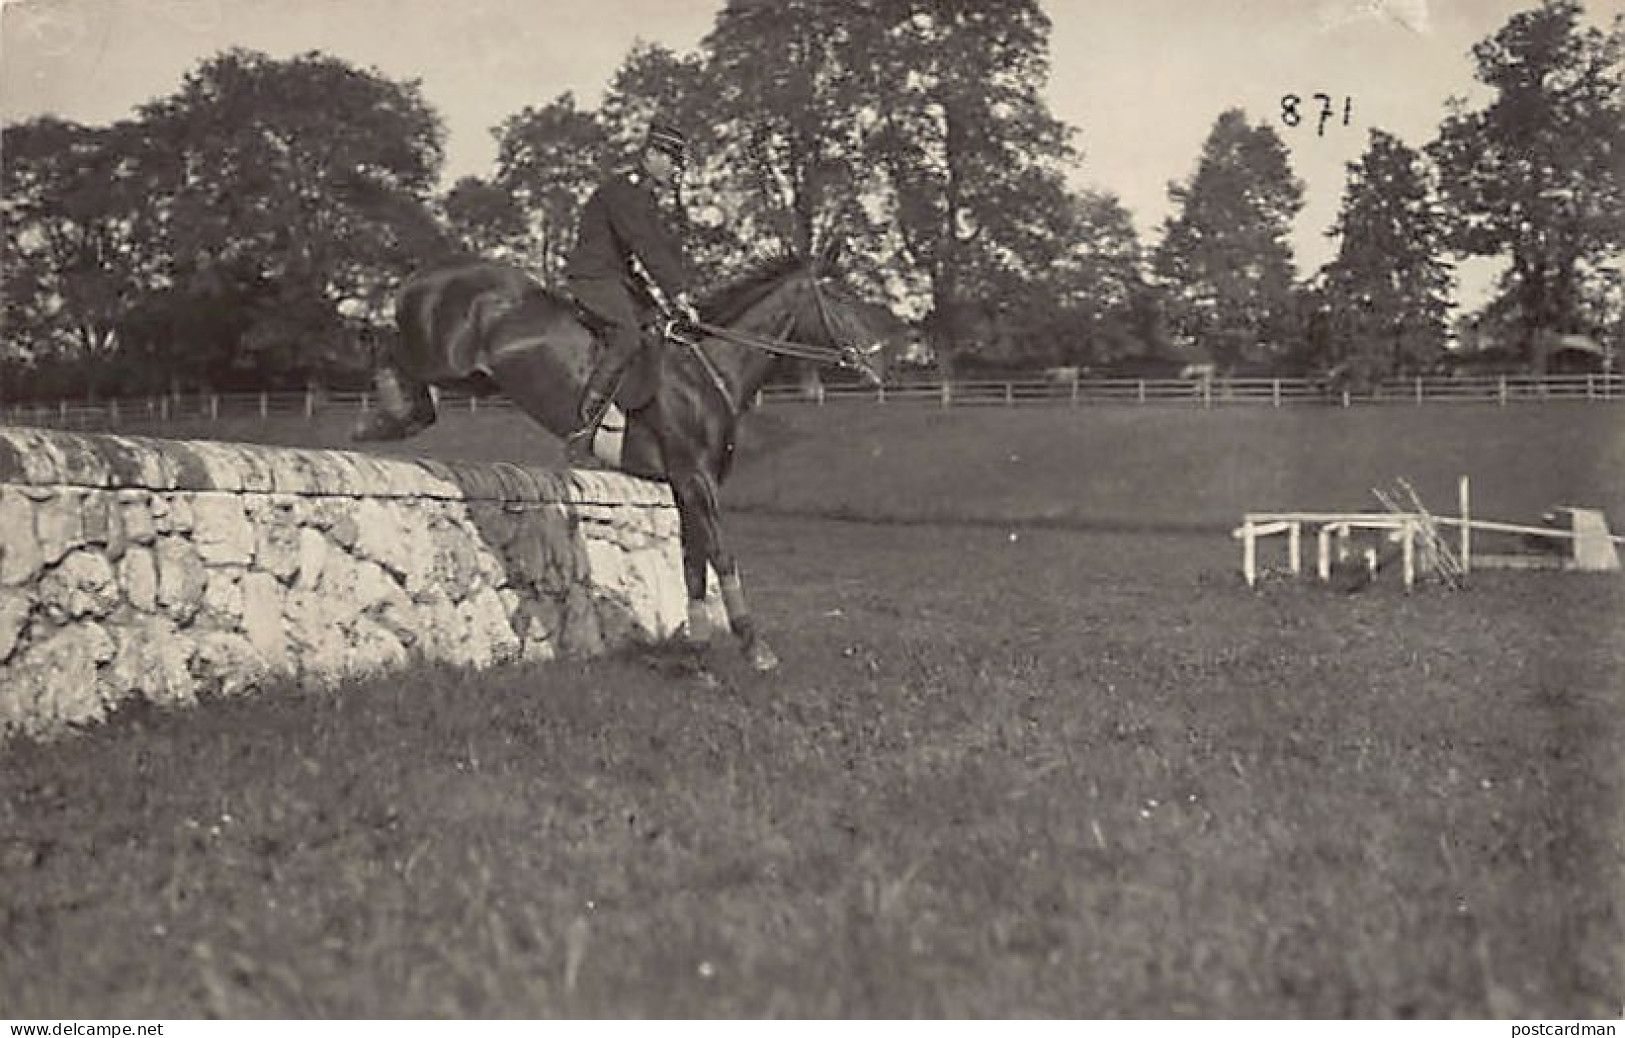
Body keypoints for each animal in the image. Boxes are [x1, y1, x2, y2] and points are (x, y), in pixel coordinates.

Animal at [352, 253, 890, 675]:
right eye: (838, 295)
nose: (879, 359)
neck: (708, 371)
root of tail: (426, 275)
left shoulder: (685, 486)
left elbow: (693, 563)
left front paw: (697, 653)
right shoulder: (695, 478)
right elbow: (720, 554)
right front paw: (754, 647)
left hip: (477, 379)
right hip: (445, 361)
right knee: (389, 347)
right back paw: (381, 406)